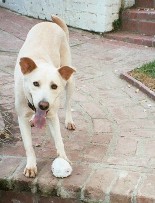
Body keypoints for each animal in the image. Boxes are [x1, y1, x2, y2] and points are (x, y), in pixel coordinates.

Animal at [14, 15, 76, 178]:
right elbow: (28, 145)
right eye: (35, 83)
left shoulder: (53, 115)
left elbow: (59, 139)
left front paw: (63, 158)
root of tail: (51, 24)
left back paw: (69, 121)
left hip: (70, 81)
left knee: (68, 104)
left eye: (54, 86)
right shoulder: (21, 117)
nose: (43, 105)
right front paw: (31, 165)